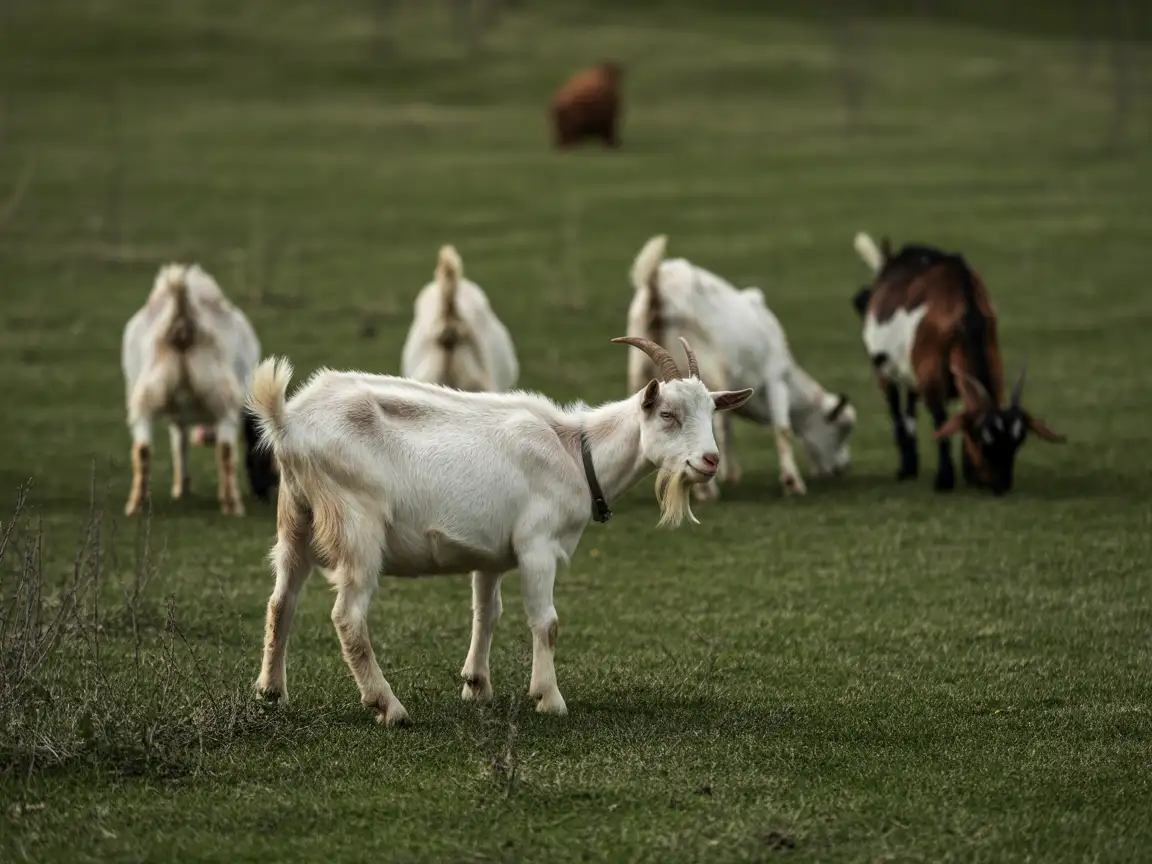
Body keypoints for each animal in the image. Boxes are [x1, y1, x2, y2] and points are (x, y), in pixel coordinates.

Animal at [121, 263, 275, 515]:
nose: (268, 493)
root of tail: (182, 320)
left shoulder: (179, 413)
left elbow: (179, 441)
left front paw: (181, 488)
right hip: (223, 399)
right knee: (225, 450)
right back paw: (232, 504)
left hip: (145, 397)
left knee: (142, 449)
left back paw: (136, 504)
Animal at [248, 337, 752, 725]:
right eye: (667, 414)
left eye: (711, 412)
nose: (710, 460)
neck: (576, 452)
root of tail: (288, 424)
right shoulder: (537, 546)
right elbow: (546, 622)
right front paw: (549, 698)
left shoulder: (488, 553)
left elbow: (486, 614)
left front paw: (477, 685)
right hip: (357, 524)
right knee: (347, 616)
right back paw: (388, 706)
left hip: (295, 521)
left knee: (280, 600)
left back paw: (271, 692)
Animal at [626, 234, 856, 500]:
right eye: (843, 428)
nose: (844, 469)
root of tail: (656, 285)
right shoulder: (774, 376)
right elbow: (782, 429)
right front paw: (792, 482)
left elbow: (725, 428)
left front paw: (731, 475)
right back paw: (706, 492)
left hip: (641, 368)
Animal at [851, 232, 1065, 495]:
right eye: (983, 440)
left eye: (1018, 442)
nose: (999, 486)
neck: (962, 310)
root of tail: (891, 261)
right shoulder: (930, 369)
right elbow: (940, 417)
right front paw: (945, 478)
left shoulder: (990, 351)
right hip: (882, 366)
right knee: (894, 403)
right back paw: (906, 467)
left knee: (909, 402)